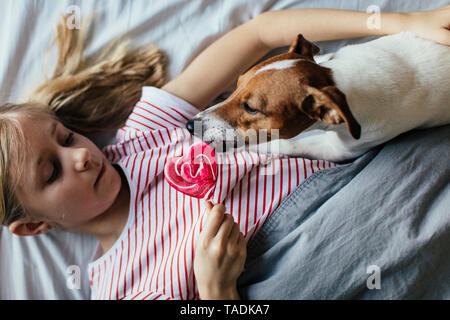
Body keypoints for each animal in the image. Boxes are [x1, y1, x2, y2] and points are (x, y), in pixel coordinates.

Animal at [186, 32, 450, 161]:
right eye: (238, 83)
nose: (189, 125)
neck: (338, 79)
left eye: (251, 108)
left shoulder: (336, 150)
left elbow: (286, 144)